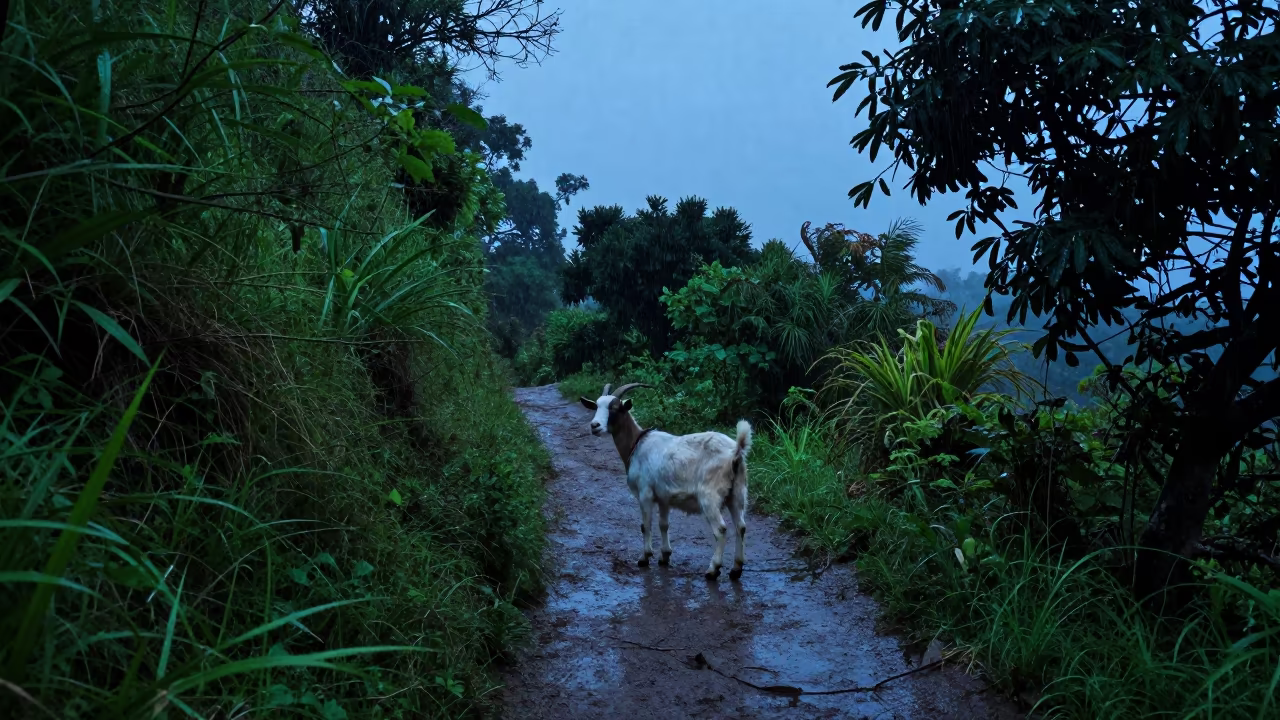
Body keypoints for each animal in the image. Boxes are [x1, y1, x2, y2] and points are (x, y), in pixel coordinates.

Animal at [581, 382, 752, 580]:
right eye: (596, 405)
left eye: (614, 408)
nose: (594, 426)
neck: (637, 444)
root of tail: (736, 452)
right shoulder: (663, 497)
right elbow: (664, 524)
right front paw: (665, 556)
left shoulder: (645, 493)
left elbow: (645, 525)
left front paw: (645, 557)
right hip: (738, 492)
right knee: (741, 527)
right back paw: (736, 569)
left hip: (709, 495)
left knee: (721, 529)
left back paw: (713, 569)